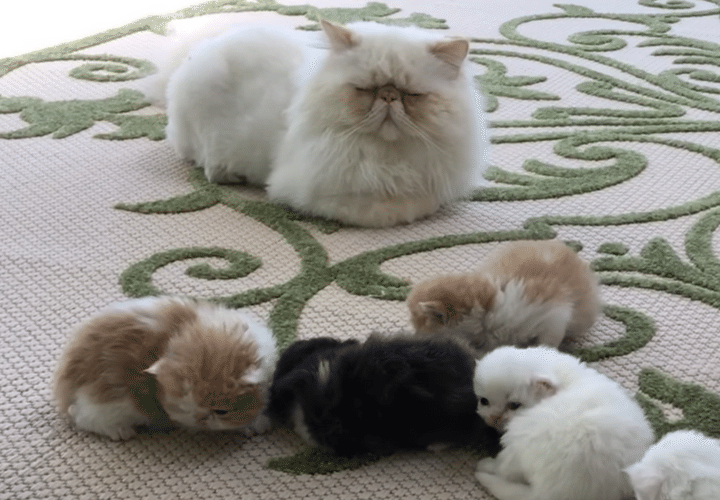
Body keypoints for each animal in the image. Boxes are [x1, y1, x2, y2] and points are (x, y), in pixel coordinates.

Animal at [53, 296, 277, 440]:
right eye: (185, 408)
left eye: (221, 411)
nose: (201, 419)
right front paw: (255, 425)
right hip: (110, 403)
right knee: (80, 415)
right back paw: (121, 431)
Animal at [153, 19, 489, 227]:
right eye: (365, 90)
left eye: (412, 95)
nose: (389, 96)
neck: (388, 155)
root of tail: (198, 50)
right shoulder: (322, 196)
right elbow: (411, 205)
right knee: (204, 161)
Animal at [473, 346, 654, 500]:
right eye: (484, 401)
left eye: (514, 405)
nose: (493, 419)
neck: (561, 375)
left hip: (519, 438)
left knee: (504, 469)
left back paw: (484, 465)